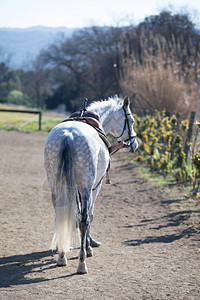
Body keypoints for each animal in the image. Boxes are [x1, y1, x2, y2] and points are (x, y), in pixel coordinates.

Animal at [43, 95, 138, 274]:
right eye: (131, 120)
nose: (134, 144)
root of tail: (68, 135)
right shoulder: (94, 187)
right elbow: (89, 216)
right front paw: (89, 246)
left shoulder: (75, 189)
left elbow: (75, 214)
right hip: (87, 187)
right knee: (84, 219)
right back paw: (82, 262)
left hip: (56, 185)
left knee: (61, 212)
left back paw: (61, 255)